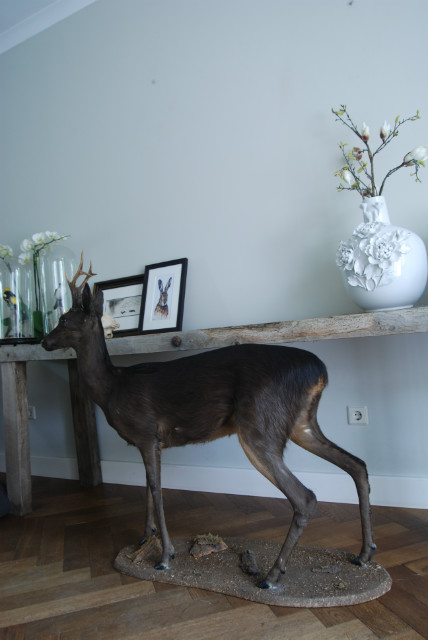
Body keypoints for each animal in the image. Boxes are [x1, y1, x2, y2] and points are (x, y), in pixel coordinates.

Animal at [41, 256, 376, 590]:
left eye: (64, 320)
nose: (44, 341)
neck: (112, 388)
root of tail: (319, 371)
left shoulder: (147, 433)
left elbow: (156, 489)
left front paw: (165, 556)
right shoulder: (146, 441)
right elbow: (147, 486)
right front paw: (144, 538)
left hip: (260, 424)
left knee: (305, 497)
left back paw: (272, 575)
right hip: (302, 423)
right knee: (357, 464)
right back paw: (364, 554)